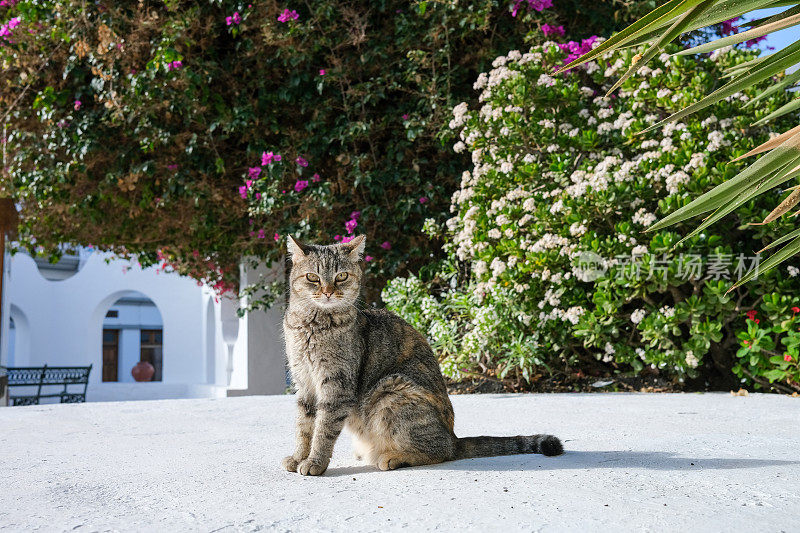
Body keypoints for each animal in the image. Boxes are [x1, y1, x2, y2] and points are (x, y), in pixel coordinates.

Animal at [282, 234, 564, 474]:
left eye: (341, 276)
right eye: (312, 277)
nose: (328, 291)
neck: (311, 326)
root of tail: (454, 436)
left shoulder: (336, 385)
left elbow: (324, 428)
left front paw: (315, 462)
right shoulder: (304, 382)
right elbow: (304, 426)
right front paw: (299, 457)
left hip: (390, 390)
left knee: (440, 451)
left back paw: (394, 457)